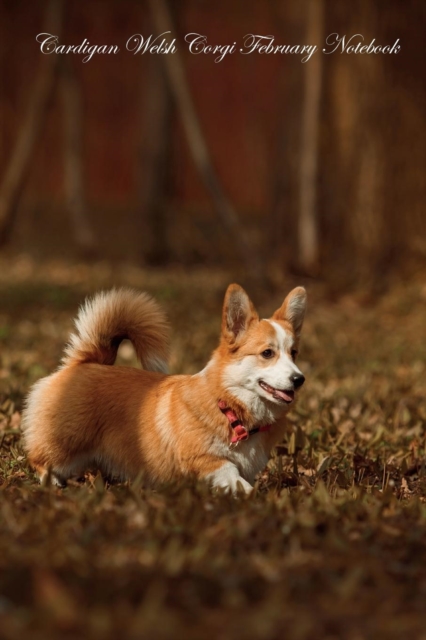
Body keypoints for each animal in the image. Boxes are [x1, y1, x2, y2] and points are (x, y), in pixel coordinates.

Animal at [22, 286, 306, 496]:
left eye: (294, 353)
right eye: (267, 353)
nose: (299, 379)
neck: (228, 404)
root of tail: (85, 362)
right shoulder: (202, 459)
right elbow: (230, 472)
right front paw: (249, 493)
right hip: (64, 446)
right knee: (39, 459)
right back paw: (52, 482)